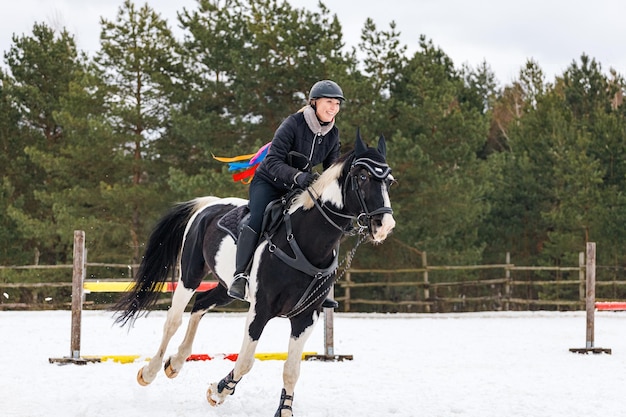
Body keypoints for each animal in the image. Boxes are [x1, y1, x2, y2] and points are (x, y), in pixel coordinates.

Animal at [113, 132, 394, 414]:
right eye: (362, 176)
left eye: (389, 180)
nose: (384, 226)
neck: (304, 242)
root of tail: (210, 204)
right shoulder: (261, 309)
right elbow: (246, 361)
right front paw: (218, 391)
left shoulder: (306, 318)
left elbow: (292, 369)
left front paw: (284, 409)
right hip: (190, 274)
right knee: (173, 320)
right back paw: (150, 371)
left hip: (227, 289)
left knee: (201, 304)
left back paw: (176, 362)